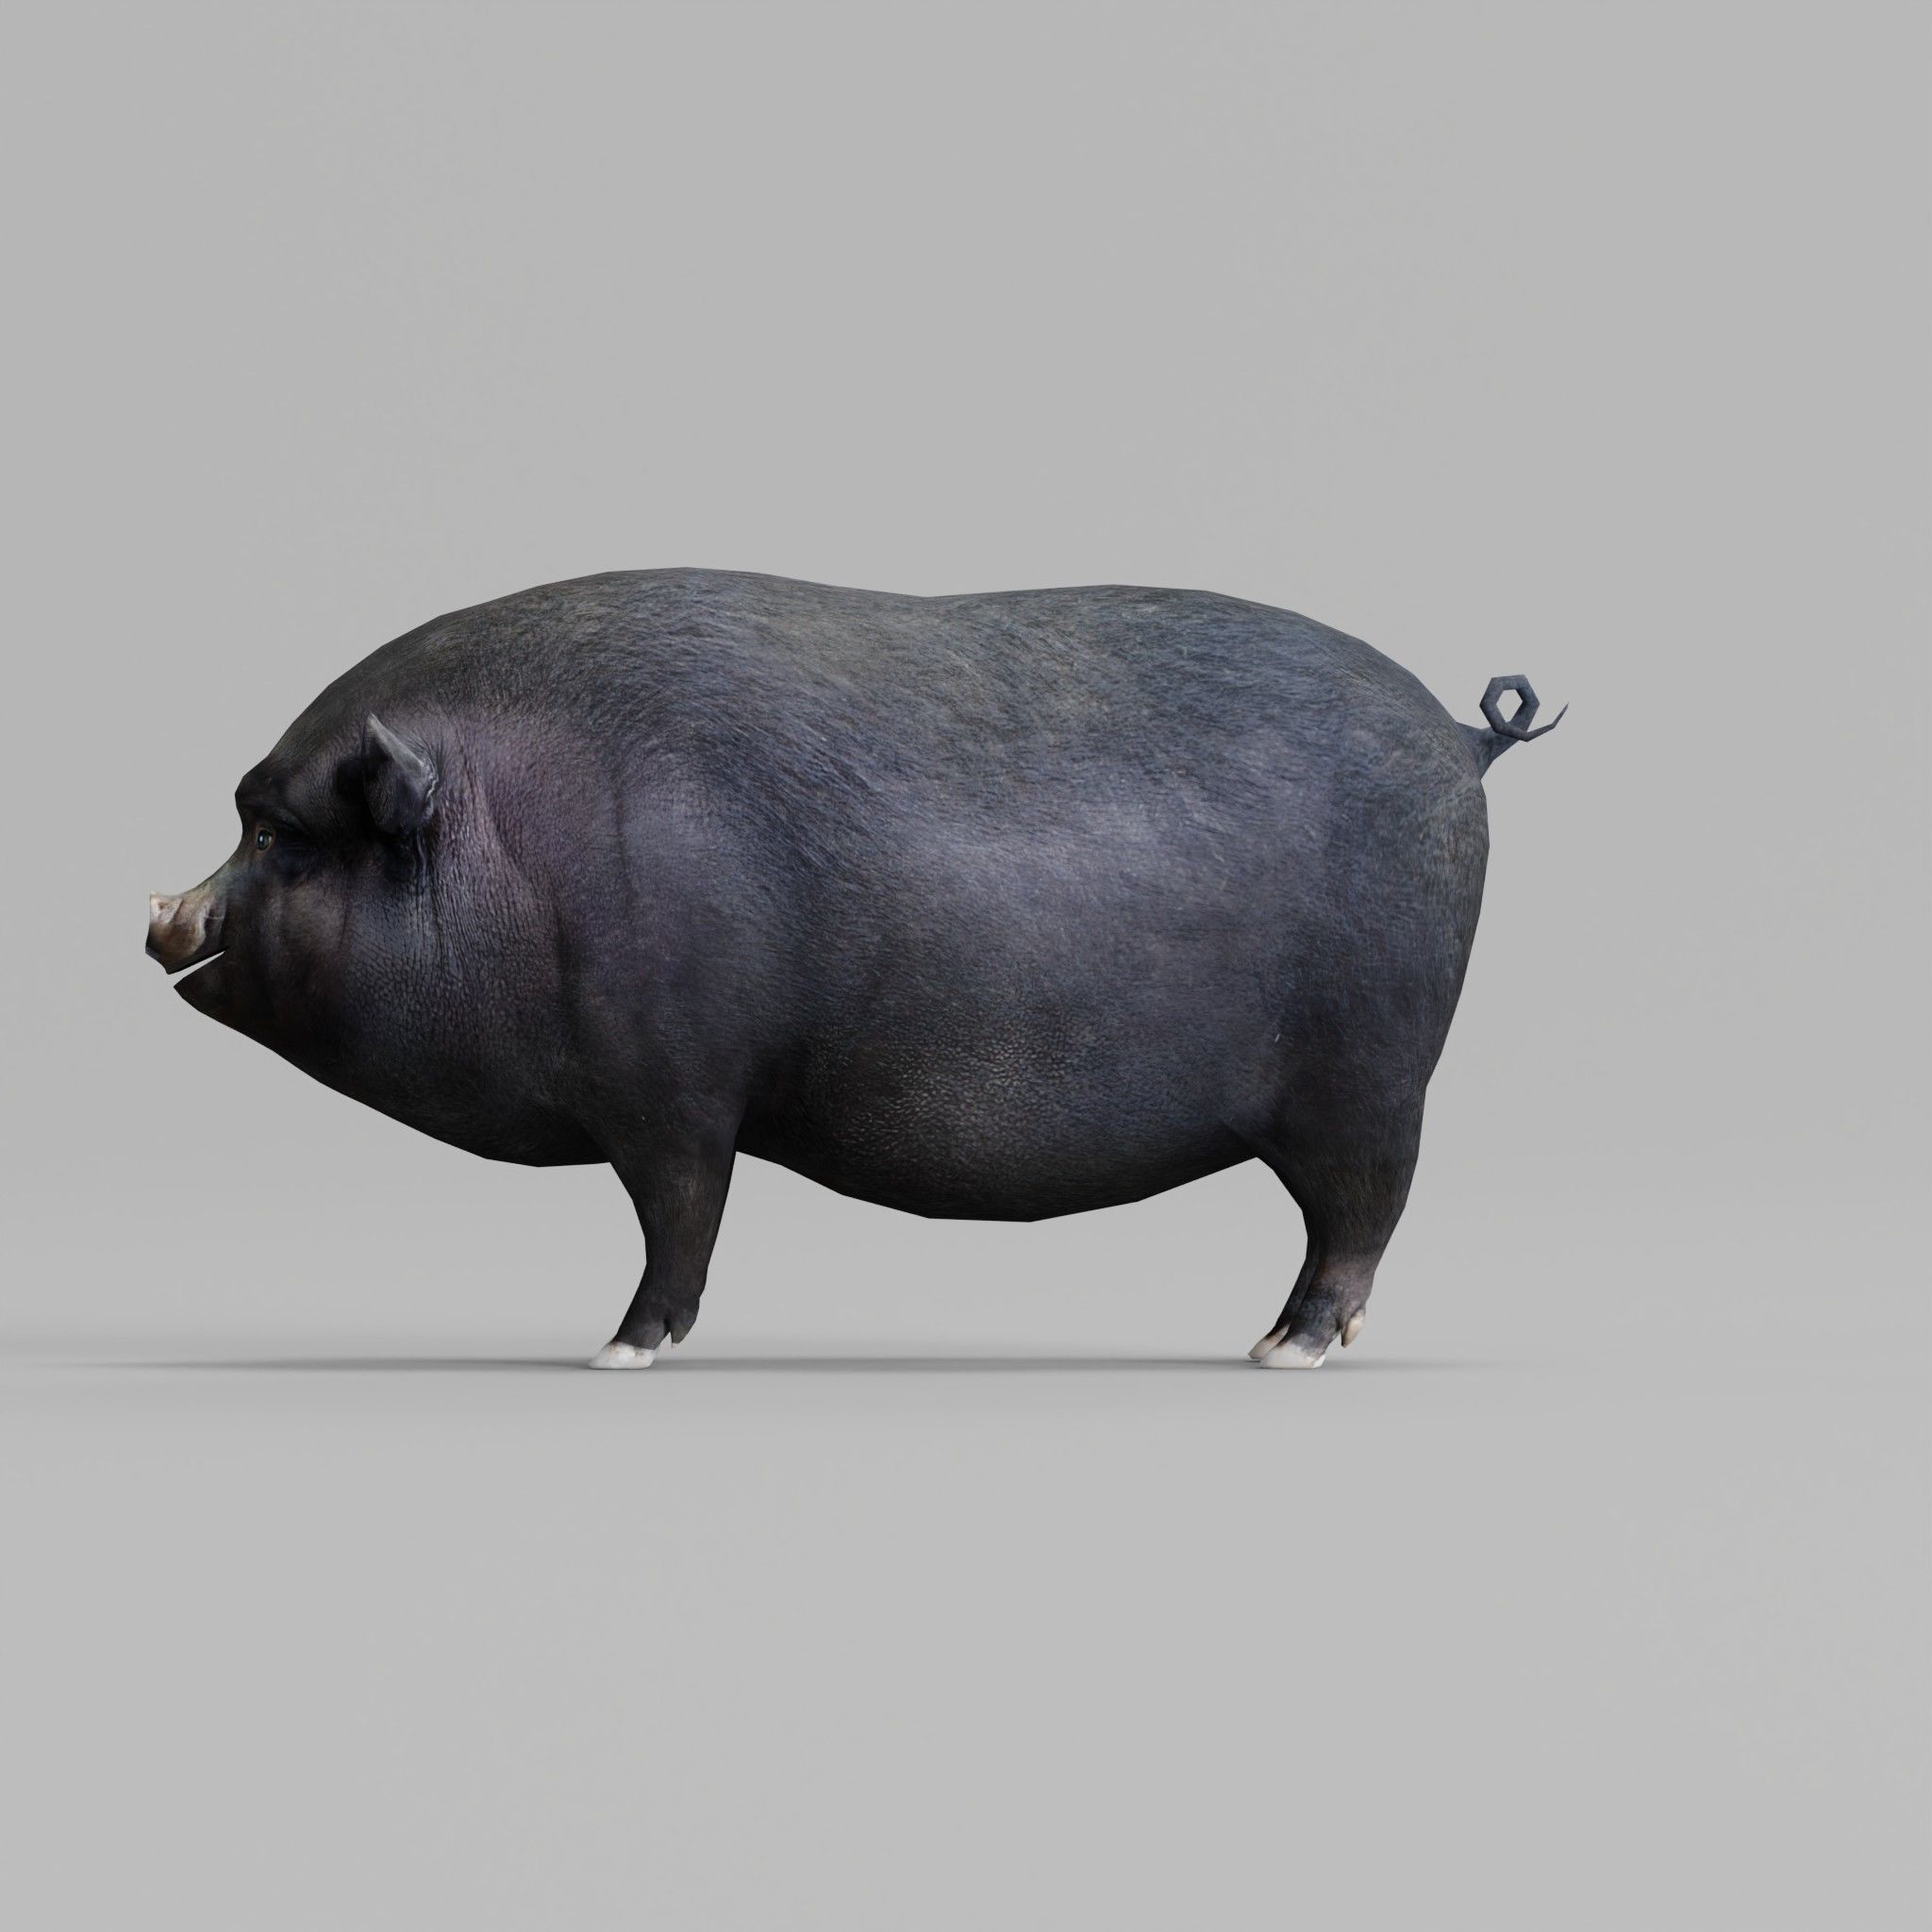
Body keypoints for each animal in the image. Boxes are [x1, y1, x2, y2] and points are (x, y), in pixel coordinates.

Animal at [147, 570, 1562, 1367]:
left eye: (273, 835)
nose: (162, 915)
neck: (513, 844)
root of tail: (1462, 741)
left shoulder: (673, 1087)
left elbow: (681, 1217)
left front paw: (617, 1352)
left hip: (1370, 1073)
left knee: (1360, 1215)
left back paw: (1282, 1351)